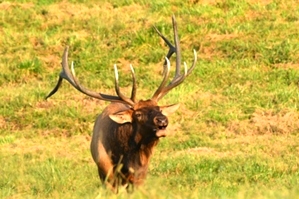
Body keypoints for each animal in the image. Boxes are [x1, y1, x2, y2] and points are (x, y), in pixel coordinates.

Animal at [45, 15, 198, 191]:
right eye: (138, 114)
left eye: (159, 108)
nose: (162, 120)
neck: (125, 158)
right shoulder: (106, 172)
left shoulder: (140, 177)